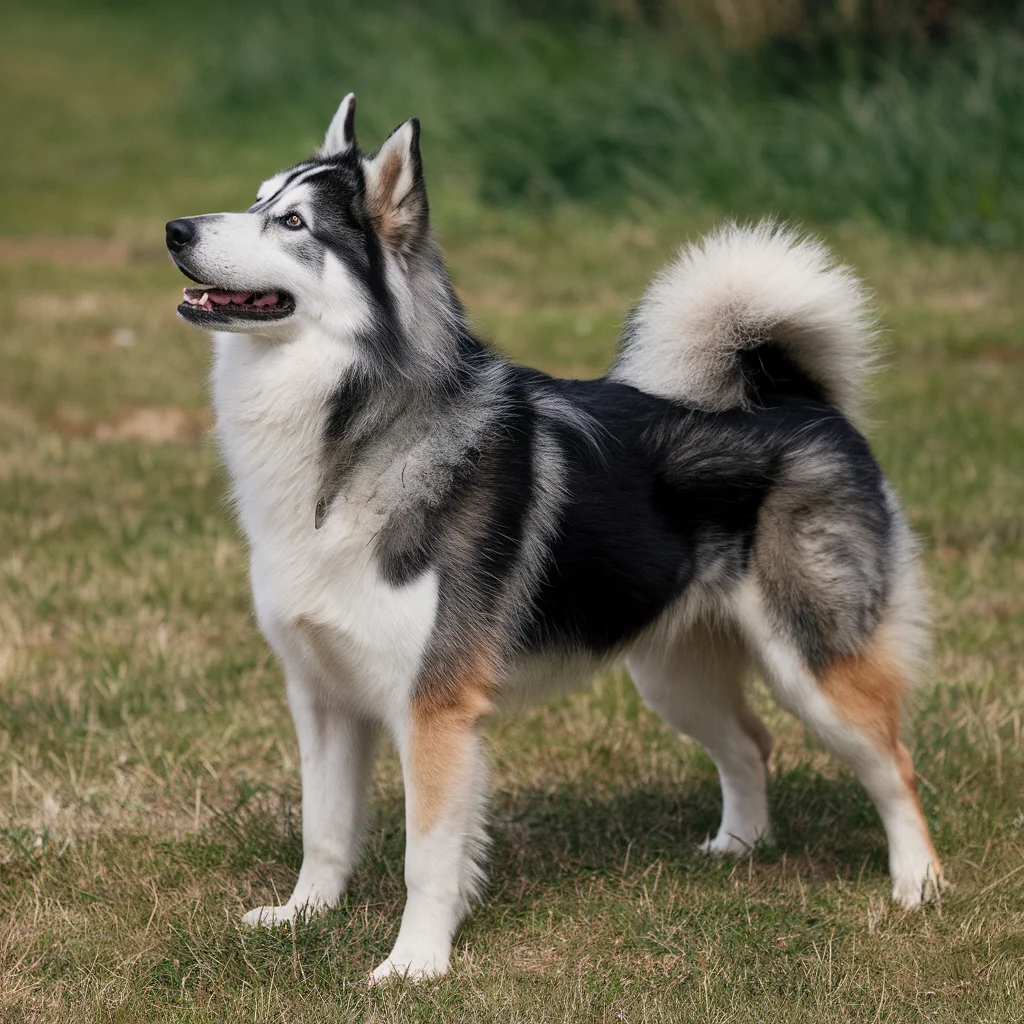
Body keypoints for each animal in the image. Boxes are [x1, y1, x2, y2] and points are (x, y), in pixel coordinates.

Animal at [167, 97, 942, 983]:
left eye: (293, 222)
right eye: (257, 199)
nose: (176, 230)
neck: (352, 434)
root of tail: (797, 397)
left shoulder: (434, 709)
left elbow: (428, 857)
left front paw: (415, 964)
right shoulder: (321, 694)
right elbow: (323, 829)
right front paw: (302, 917)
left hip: (815, 663)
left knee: (894, 765)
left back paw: (918, 885)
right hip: (671, 674)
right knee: (752, 743)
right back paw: (737, 849)